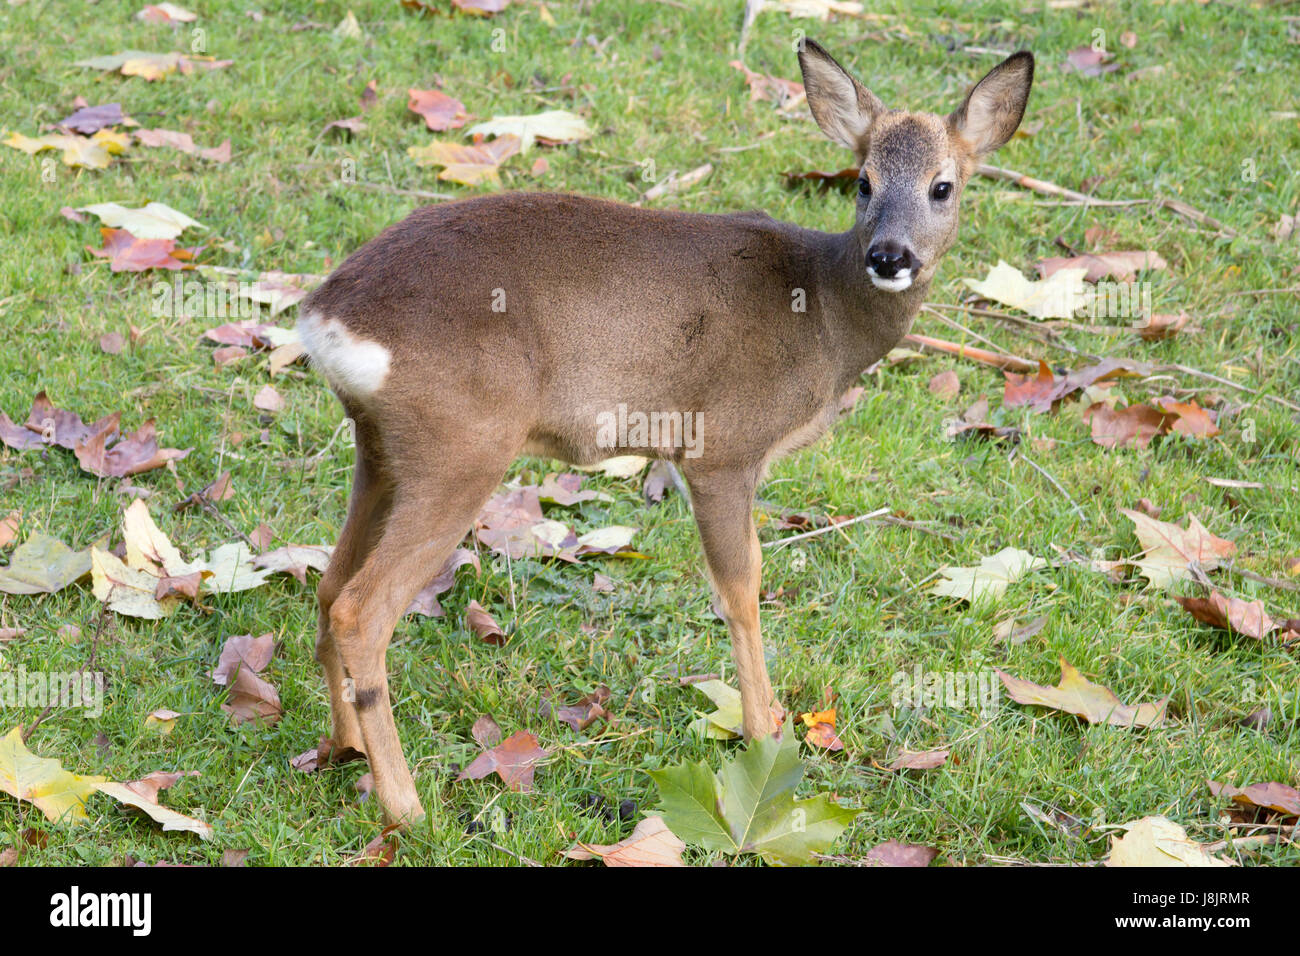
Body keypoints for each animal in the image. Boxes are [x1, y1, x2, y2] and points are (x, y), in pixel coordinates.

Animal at [298, 40, 1034, 825]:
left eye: (943, 186)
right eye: (862, 182)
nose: (890, 256)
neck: (824, 314)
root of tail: (324, 317)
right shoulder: (723, 447)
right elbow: (741, 586)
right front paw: (763, 731)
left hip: (380, 447)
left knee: (329, 585)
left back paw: (345, 749)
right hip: (462, 445)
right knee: (361, 609)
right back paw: (406, 807)